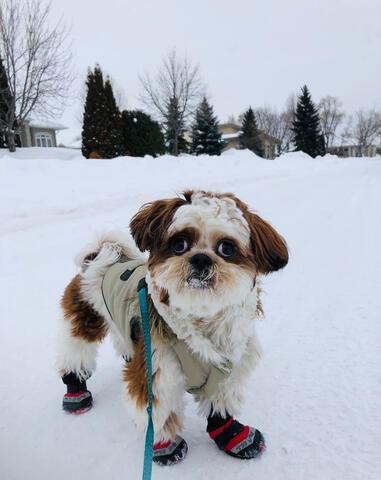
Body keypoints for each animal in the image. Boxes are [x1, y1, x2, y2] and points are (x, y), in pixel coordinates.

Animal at [57, 190, 288, 464]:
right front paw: (165, 446)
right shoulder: (156, 371)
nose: (201, 258)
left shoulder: (228, 367)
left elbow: (220, 402)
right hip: (83, 321)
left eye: (226, 248)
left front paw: (233, 435)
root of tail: (98, 255)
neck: (200, 319)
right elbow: (158, 411)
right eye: (180, 245)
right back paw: (75, 391)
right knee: (76, 353)